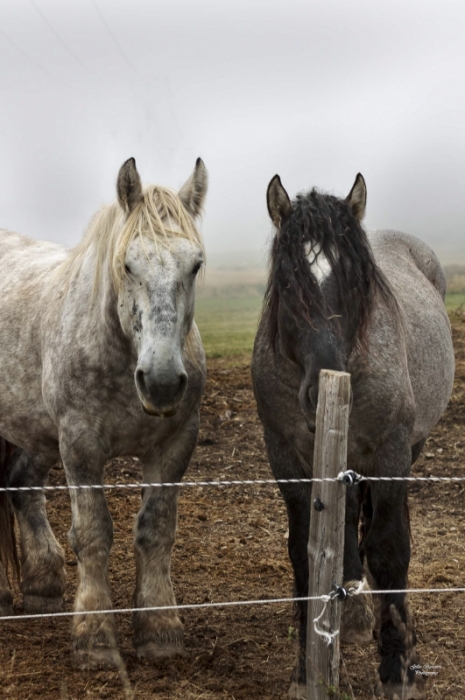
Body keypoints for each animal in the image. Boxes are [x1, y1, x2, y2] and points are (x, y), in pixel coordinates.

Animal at [0, 157, 207, 669]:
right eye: (127, 264)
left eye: (195, 265)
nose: (161, 381)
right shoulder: (80, 445)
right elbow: (93, 533)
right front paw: (94, 636)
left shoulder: (174, 445)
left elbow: (156, 530)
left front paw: (159, 628)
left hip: (36, 431)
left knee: (22, 483)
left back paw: (43, 585)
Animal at [251, 173, 454, 699]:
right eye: (287, 282)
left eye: (357, 282)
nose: (326, 380)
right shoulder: (286, 456)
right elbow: (305, 552)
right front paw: (308, 667)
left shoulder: (390, 450)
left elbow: (389, 549)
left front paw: (398, 667)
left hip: (408, 446)